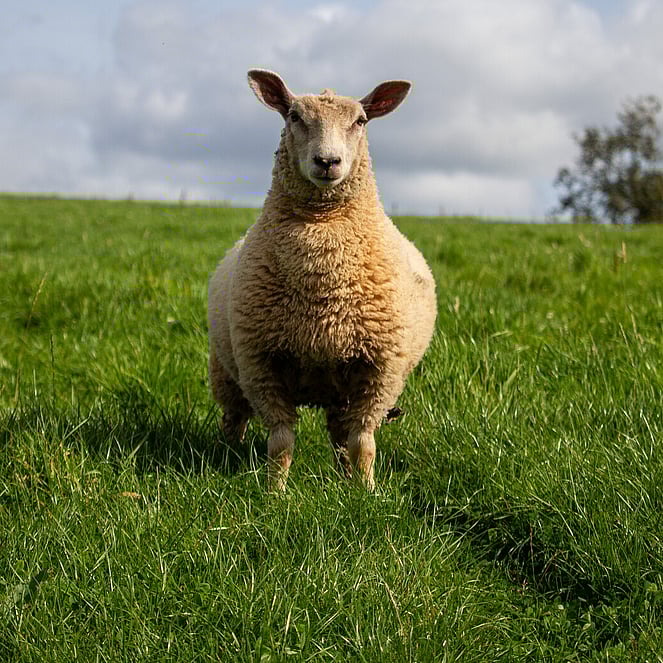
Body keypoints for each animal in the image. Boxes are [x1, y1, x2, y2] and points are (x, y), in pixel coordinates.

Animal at [208, 69, 437, 491]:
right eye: (294, 116)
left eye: (360, 121)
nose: (327, 161)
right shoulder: (261, 364)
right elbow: (281, 441)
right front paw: (275, 493)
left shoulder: (379, 370)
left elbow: (363, 441)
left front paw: (367, 493)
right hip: (227, 371)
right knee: (234, 419)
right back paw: (226, 453)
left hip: (339, 385)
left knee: (342, 436)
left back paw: (346, 477)